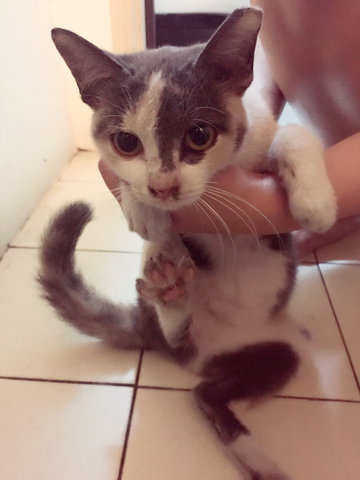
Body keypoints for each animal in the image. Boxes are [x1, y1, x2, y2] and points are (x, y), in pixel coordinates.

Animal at [40, 8, 338, 480]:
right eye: (127, 142)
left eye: (199, 135)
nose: (162, 187)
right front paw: (142, 207)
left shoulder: (260, 129)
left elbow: (291, 133)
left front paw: (315, 202)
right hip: (196, 336)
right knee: (192, 368)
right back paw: (170, 294)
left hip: (281, 350)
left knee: (212, 391)